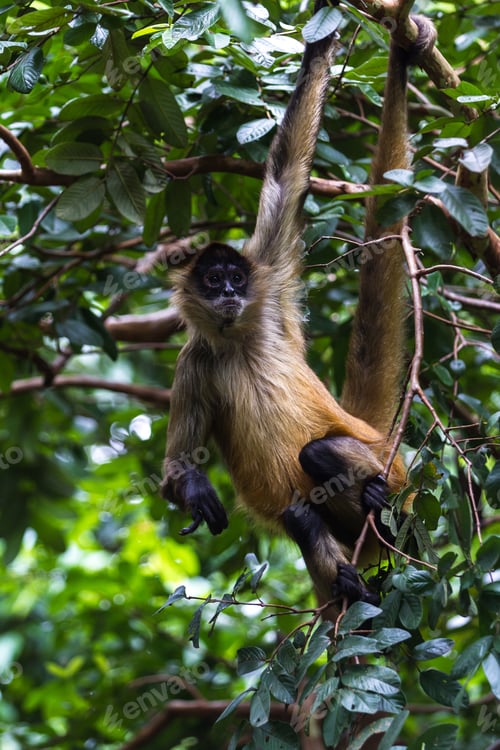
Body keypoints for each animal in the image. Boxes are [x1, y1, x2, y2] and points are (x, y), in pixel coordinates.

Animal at [160, 2, 437, 610]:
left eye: (235, 277)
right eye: (212, 281)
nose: (231, 293)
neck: (237, 338)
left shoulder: (270, 280)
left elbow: (286, 172)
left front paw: (318, 41)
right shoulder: (192, 362)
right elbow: (171, 473)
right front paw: (192, 487)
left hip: (395, 470)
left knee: (319, 454)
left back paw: (380, 512)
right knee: (299, 515)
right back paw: (352, 588)